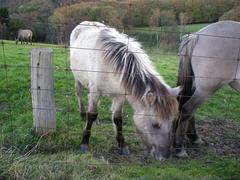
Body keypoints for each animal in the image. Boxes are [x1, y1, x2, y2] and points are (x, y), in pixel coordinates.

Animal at [70, 21, 181, 160]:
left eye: (172, 122)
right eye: (155, 125)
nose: (165, 156)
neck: (110, 65)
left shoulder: (120, 96)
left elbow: (118, 119)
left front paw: (122, 145)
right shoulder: (95, 92)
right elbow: (91, 115)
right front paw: (84, 143)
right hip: (78, 78)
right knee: (80, 95)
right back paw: (82, 113)